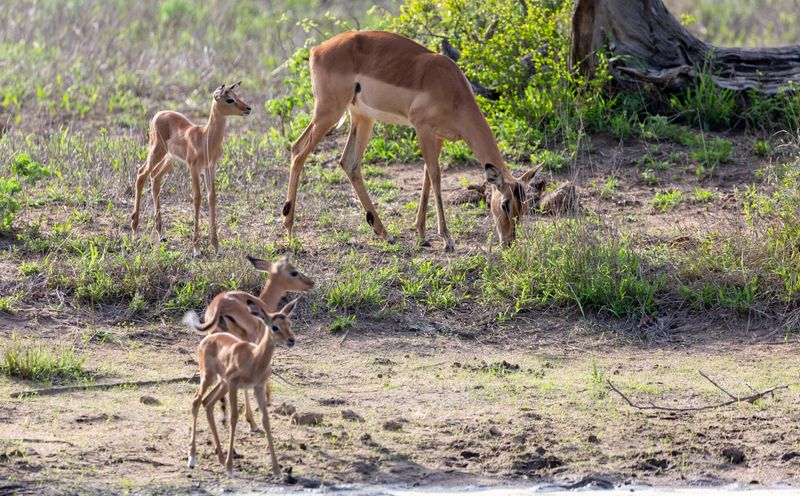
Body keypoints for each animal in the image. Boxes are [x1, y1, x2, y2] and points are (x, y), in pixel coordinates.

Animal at [130, 82, 252, 256]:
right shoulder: (193, 168)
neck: (206, 138)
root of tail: (157, 114)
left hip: (171, 159)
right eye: (229, 99)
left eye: (237, 96)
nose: (248, 108)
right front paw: (196, 248)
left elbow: (212, 197)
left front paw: (216, 246)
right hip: (156, 151)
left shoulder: (210, 168)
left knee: (155, 177)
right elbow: (197, 198)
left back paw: (162, 234)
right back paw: (135, 229)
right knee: (141, 174)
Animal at [185, 297, 299, 477]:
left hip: (222, 383)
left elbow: (266, 421)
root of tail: (205, 340)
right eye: (274, 327)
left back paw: (220, 458)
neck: (254, 359)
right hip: (209, 378)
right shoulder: (234, 384)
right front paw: (230, 467)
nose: (291, 340)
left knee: (207, 404)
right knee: (196, 401)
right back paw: (192, 459)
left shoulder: (257, 387)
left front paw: (277, 469)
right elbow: (233, 418)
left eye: (289, 323)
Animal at [192, 254, 314, 432]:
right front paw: (264, 404)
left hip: (216, 339)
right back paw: (251, 422)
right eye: (294, 272)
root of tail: (220, 303)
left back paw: (223, 415)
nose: (310, 283)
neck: (264, 304)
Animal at [282, 31, 541, 250]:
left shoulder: (438, 136)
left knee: (349, 162)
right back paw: (290, 230)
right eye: (505, 203)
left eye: (524, 205)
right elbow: (435, 176)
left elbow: (426, 176)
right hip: (329, 112)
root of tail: (317, 49)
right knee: (298, 150)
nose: (508, 241)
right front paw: (446, 239)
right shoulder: (422, 128)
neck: (453, 89)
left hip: (361, 117)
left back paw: (385, 233)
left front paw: (422, 234)